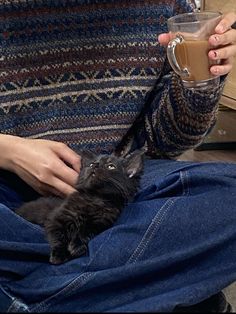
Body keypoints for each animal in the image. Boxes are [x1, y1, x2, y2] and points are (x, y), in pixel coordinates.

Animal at [16, 150, 144, 264]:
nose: (95, 165)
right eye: (91, 164)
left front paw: (76, 246)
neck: (95, 197)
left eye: (111, 166)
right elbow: (59, 237)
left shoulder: (100, 223)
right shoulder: (55, 220)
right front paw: (59, 254)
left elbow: (86, 232)